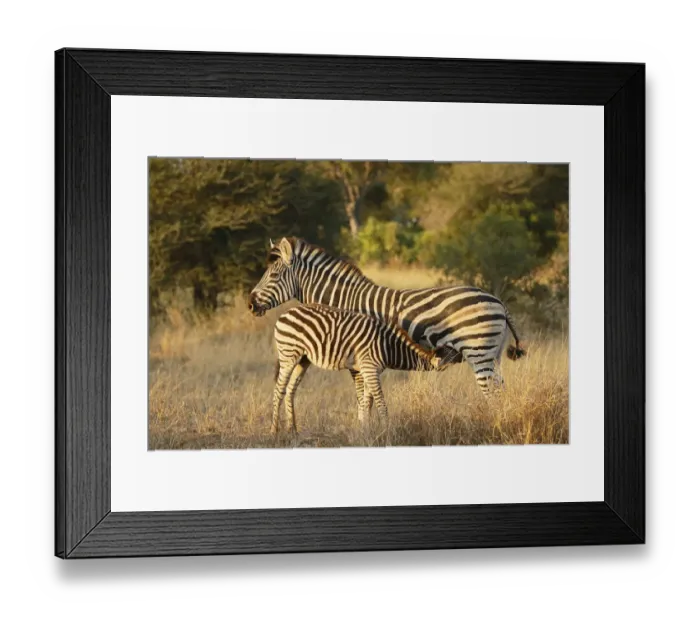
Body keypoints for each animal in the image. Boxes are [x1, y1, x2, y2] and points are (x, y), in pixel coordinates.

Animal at [249, 237, 526, 394]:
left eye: (273, 275)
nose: (250, 304)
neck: (343, 301)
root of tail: (498, 302)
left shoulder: (356, 356)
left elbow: (363, 395)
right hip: (492, 353)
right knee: (500, 390)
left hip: (478, 351)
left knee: (491, 393)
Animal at [271, 303, 451, 433]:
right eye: (453, 355)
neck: (388, 346)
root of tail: (284, 314)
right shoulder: (370, 369)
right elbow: (380, 402)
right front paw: (387, 431)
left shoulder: (369, 370)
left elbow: (367, 402)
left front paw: (366, 430)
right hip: (288, 355)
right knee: (279, 390)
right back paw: (274, 431)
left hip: (303, 360)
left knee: (290, 390)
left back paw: (293, 430)